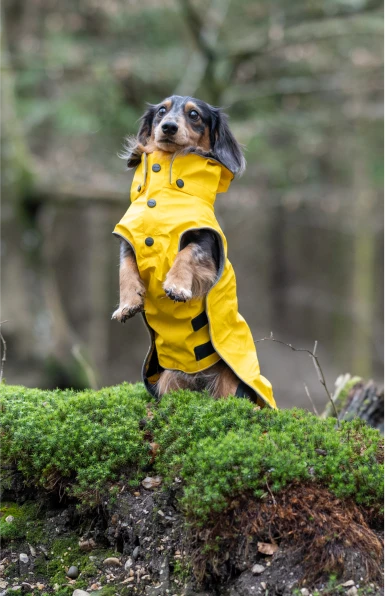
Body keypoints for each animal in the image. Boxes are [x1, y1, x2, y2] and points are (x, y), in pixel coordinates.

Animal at [112, 95, 276, 410]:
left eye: (194, 115)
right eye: (161, 111)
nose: (168, 127)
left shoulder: (205, 242)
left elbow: (186, 254)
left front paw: (176, 287)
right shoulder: (127, 240)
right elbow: (125, 269)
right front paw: (128, 303)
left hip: (231, 383)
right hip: (168, 379)